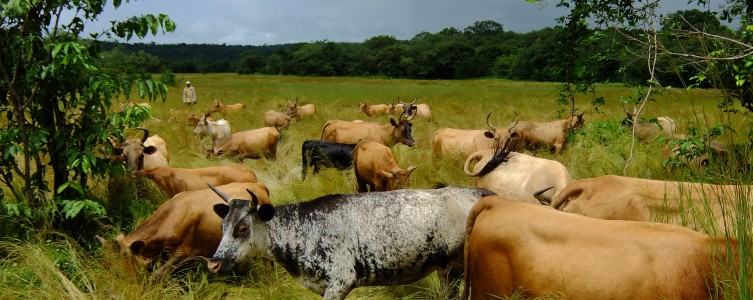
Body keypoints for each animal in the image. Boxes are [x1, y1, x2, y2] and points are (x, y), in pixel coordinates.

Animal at [204, 185, 494, 300]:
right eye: (222, 226)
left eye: (242, 228)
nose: (214, 264)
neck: (303, 227)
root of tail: (479, 192)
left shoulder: (340, 281)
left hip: (453, 269)